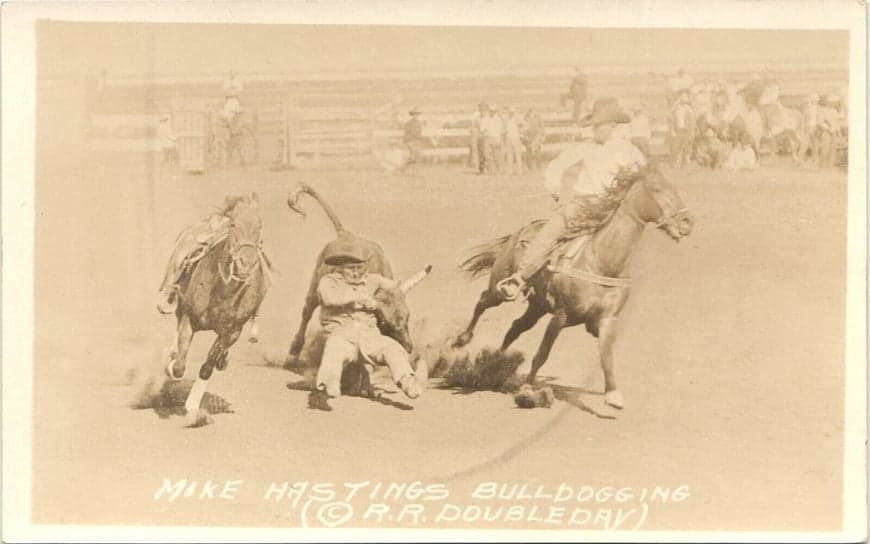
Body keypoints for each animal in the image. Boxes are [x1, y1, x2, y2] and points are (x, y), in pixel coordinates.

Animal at [165, 193, 270, 414]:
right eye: (233, 225)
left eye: (259, 226)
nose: (246, 263)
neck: (223, 292)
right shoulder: (189, 317)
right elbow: (179, 364)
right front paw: (171, 365)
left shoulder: (232, 332)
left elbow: (208, 366)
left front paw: (193, 405)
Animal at [456, 170, 696, 408]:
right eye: (657, 188)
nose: (687, 222)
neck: (601, 261)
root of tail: (521, 231)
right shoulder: (560, 316)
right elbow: (542, 354)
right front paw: (527, 390)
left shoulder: (607, 320)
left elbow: (606, 356)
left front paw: (613, 395)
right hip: (500, 288)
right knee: (483, 302)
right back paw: (463, 340)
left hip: (537, 307)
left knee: (516, 327)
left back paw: (495, 362)